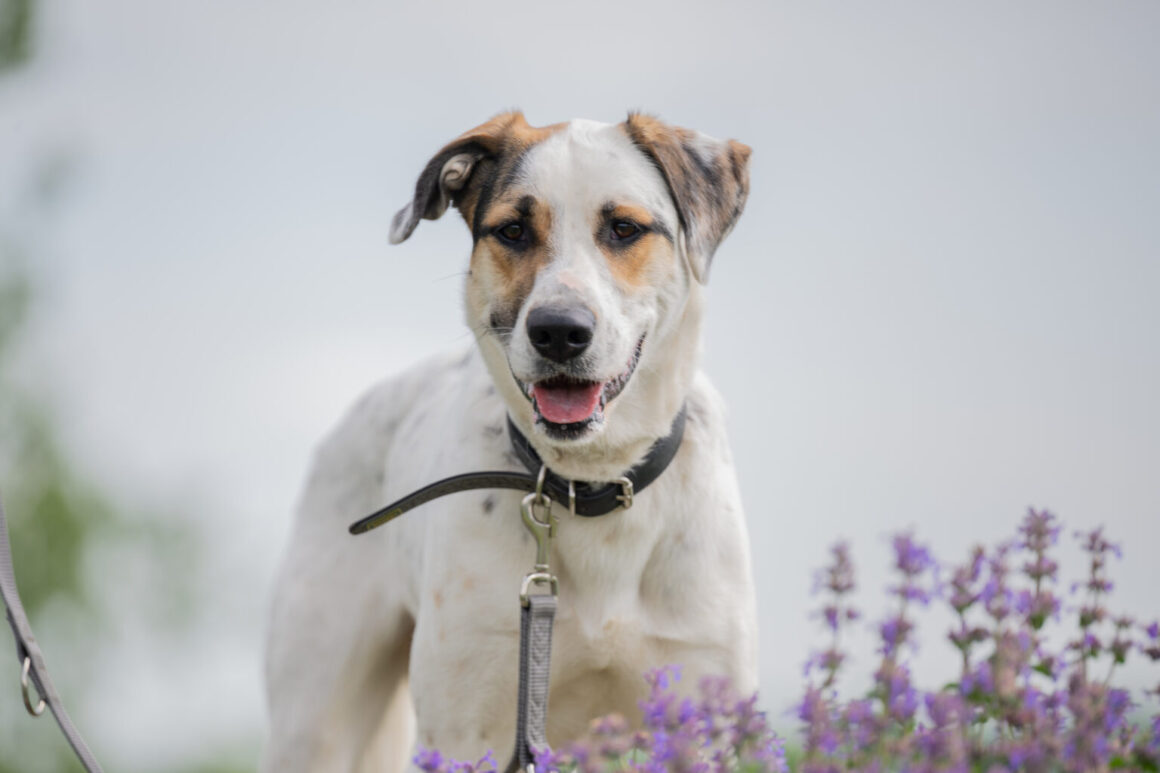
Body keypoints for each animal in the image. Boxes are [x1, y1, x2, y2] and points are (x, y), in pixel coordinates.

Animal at [263, 111, 760, 766]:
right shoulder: (465, 722)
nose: (559, 331)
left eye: (624, 228)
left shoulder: (701, 710)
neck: (592, 482)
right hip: (316, 710)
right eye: (514, 231)